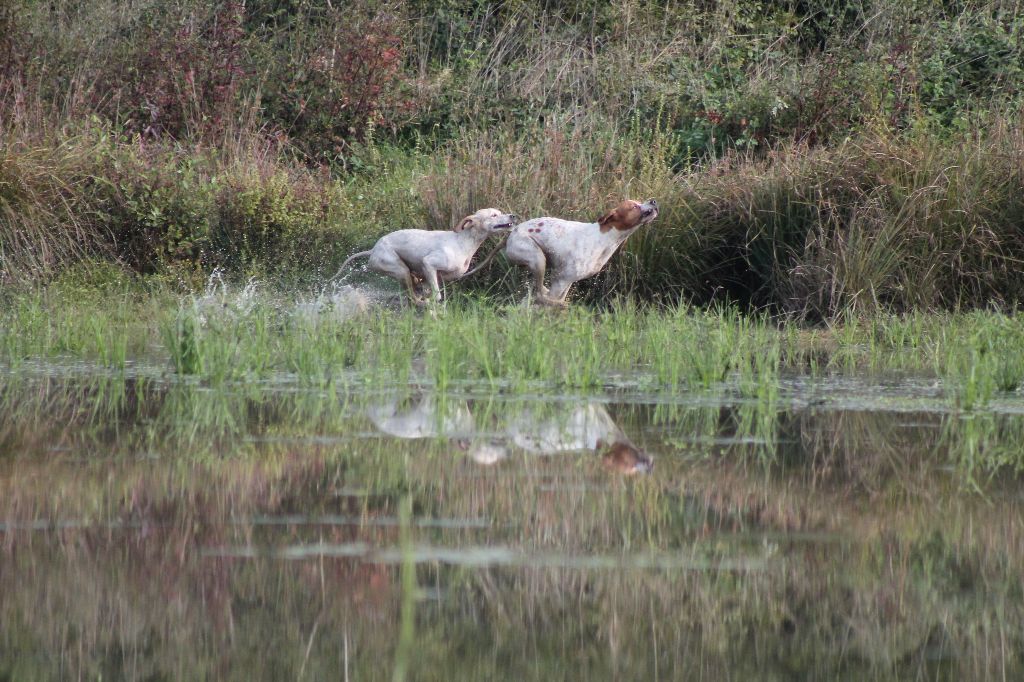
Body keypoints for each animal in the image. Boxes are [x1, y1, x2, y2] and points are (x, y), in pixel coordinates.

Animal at [501, 195, 659, 303]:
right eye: (634, 206)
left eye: (639, 201)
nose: (654, 201)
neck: (604, 239)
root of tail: (514, 231)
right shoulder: (561, 279)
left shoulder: (568, 281)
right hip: (538, 260)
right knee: (540, 293)